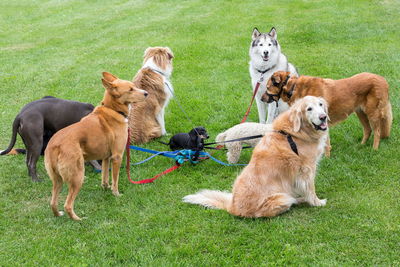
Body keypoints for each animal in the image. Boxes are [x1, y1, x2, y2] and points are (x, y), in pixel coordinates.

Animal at [45, 71, 148, 222]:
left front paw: (105, 188)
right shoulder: (117, 157)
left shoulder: (106, 157)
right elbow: (115, 180)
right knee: (68, 204)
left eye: (134, 86)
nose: (147, 93)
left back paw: (58, 214)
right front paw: (116, 194)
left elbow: (105, 176)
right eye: (130, 90)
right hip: (77, 177)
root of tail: (55, 145)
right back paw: (78, 219)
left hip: (57, 179)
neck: (113, 109)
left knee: (53, 202)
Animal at [184, 97, 328, 219]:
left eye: (321, 105)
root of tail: (232, 207)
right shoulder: (307, 169)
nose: (323, 117)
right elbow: (311, 190)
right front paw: (317, 202)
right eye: (309, 109)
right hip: (282, 198)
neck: (293, 133)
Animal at [260, 70, 392, 153]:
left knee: (377, 131)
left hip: (372, 113)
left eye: (267, 87)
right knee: (368, 130)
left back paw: (374, 149)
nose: (261, 99)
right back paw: (361, 145)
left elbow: (326, 143)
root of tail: (383, 80)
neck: (292, 87)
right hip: (360, 112)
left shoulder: (322, 120)